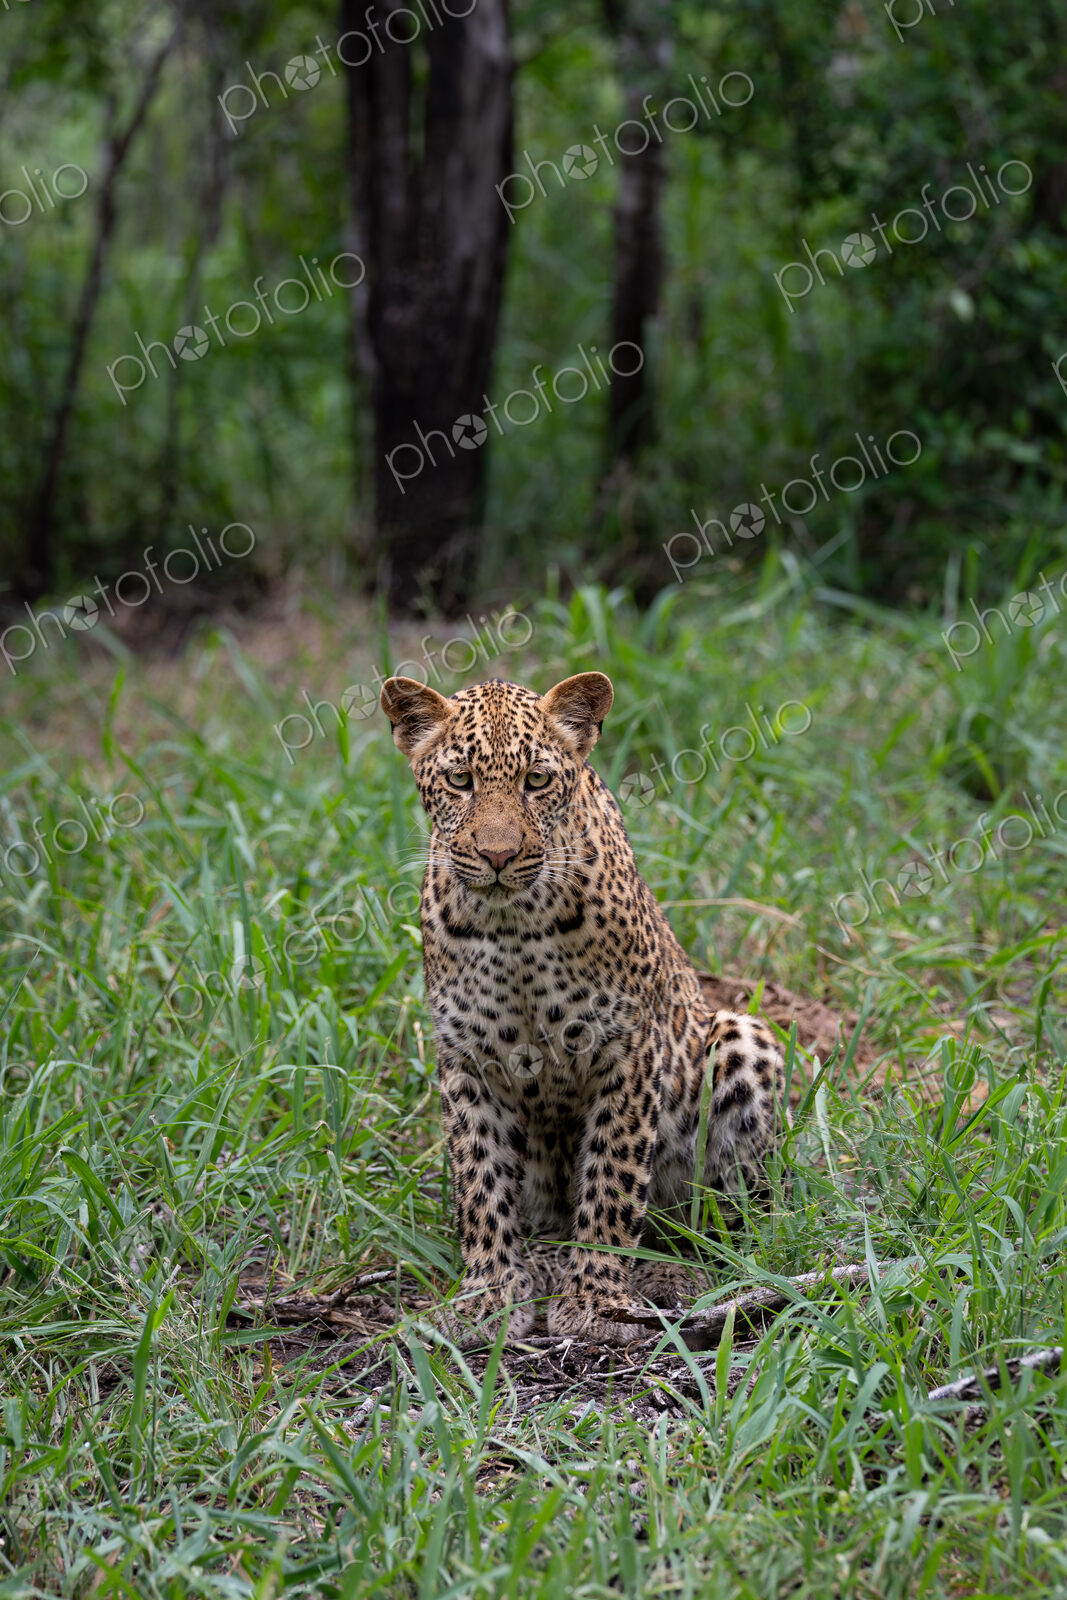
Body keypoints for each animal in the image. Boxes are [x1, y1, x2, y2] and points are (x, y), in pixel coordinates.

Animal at [380, 669, 786, 1345]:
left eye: (536, 781)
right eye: (460, 780)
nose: (497, 856)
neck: (512, 925)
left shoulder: (627, 1052)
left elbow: (612, 1179)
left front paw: (597, 1299)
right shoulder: (468, 1062)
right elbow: (480, 1183)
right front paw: (488, 1295)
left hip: (741, 1039)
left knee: (721, 1225)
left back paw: (675, 1273)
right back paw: (545, 1260)